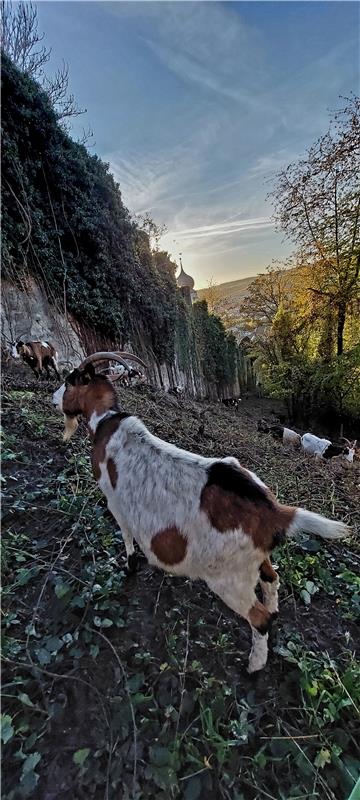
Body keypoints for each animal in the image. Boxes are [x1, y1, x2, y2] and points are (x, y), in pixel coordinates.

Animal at [52, 354, 350, 672]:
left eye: (69, 381)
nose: (53, 399)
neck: (106, 422)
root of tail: (275, 512)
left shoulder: (114, 501)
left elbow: (127, 536)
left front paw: (130, 566)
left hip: (229, 579)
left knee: (259, 619)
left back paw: (253, 666)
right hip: (257, 559)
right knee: (272, 581)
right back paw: (274, 618)